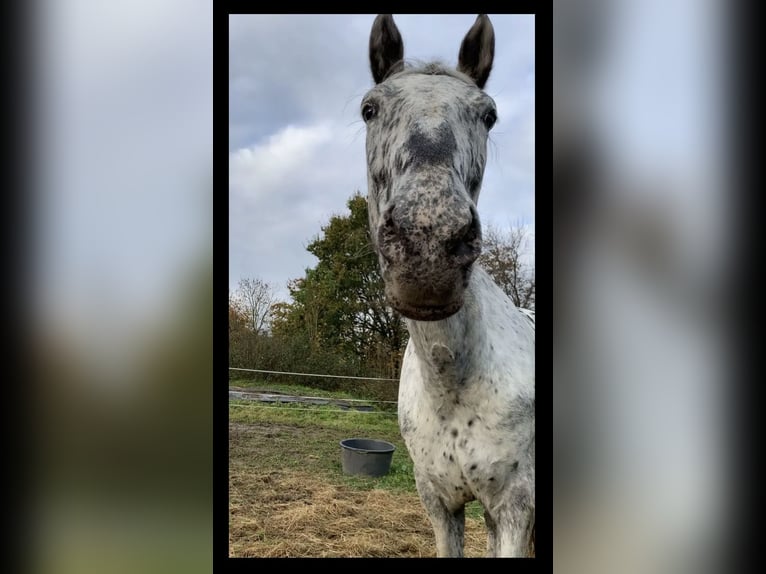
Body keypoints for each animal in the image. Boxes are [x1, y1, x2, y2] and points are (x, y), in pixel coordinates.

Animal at [362, 15, 536, 560]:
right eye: (369, 109)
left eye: (489, 115)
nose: (429, 247)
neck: (452, 381)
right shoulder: (441, 504)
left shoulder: (516, 508)